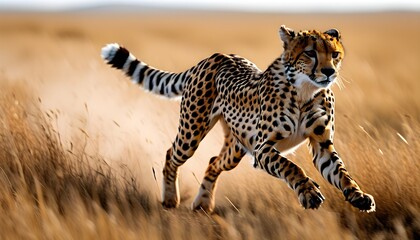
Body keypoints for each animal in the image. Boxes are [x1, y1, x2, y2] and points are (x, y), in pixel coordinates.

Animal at [102, 25, 378, 213]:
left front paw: (358, 195)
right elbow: (292, 167)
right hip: (192, 133)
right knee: (172, 154)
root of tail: (216, 56)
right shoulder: (262, 149)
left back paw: (203, 203)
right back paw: (170, 199)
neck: (305, 91)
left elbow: (341, 171)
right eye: (310, 53)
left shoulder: (321, 144)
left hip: (236, 148)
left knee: (213, 162)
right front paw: (308, 193)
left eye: (335, 54)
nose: (329, 71)